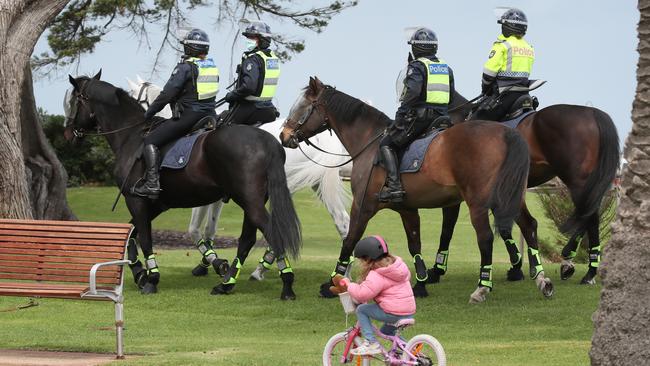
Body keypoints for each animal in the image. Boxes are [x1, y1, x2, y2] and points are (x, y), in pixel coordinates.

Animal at [63, 72, 302, 300]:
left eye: (72, 101)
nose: (67, 135)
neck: (131, 135)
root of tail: (268, 140)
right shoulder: (158, 205)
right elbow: (131, 236)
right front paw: (140, 273)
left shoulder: (136, 201)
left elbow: (144, 238)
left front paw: (151, 279)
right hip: (252, 201)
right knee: (247, 240)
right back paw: (226, 284)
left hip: (249, 201)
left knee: (272, 234)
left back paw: (286, 284)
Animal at [126, 76, 350, 278]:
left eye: (132, 96)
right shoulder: (216, 198)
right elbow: (209, 230)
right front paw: (209, 264)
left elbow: (195, 230)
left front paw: (213, 263)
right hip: (315, 186)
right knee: (343, 223)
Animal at [280, 78, 544, 304]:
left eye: (302, 106)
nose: (284, 135)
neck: (370, 143)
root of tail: (506, 132)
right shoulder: (407, 209)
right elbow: (414, 244)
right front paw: (420, 284)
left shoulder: (363, 207)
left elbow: (350, 240)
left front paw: (332, 283)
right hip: (510, 198)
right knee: (528, 225)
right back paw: (542, 279)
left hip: (478, 203)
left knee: (486, 238)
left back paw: (482, 288)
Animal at [426, 91, 616, 286]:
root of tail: (592, 112)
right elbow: (507, 228)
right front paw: (517, 266)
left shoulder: (456, 196)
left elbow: (447, 230)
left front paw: (437, 270)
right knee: (588, 213)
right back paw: (571, 261)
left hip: (576, 181)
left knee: (590, 217)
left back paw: (587, 271)